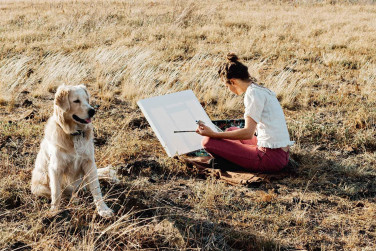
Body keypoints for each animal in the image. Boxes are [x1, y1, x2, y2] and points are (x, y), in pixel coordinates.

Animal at [31, 84, 114, 218]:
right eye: (76, 101)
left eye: (87, 99)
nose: (92, 111)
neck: (75, 134)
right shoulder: (56, 168)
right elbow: (56, 193)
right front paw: (54, 212)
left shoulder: (89, 163)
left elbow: (96, 189)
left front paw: (103, 209)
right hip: (40, 187)